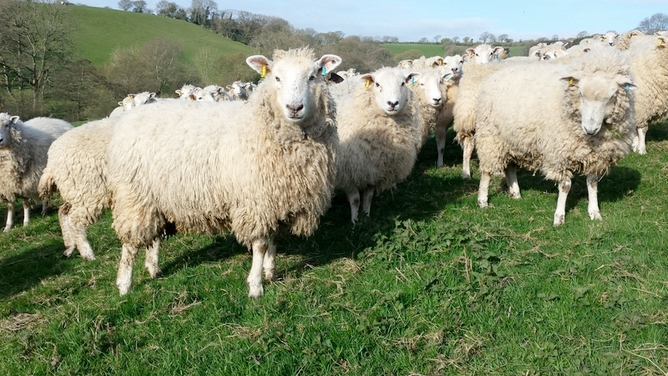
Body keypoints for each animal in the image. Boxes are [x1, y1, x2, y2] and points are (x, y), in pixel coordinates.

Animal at [108, 47, 344, 298]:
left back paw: (153, 268)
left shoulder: (275, 199)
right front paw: (256, 285)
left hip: (156, 198)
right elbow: (260, 244)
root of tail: (128, 118)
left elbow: (273, 239)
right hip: (133, 196)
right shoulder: (256, 201)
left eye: (312, 77)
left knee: (153, 238)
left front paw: (270, 271)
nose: (294, 108)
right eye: (277, 78)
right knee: (130, 243)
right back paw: (124, 284)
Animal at [336, 67, 420, 223]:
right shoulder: (348, 170)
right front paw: (355, 221)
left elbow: (368, 197)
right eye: (377, 84)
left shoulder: (374, 168)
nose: (392, 103)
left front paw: (367, 216)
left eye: (403, 83)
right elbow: (355, 200)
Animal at [472, 49, 636, 226]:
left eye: (611, 96)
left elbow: (592, 183)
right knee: (487, 171)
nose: (590, 129)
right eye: (580, 93)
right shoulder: (559, 155)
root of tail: (497, 73)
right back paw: (483, 200)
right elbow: (565, 186)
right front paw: (559, 217)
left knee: (509, 168)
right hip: (490, 137)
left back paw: (515, 193)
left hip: (511, 140)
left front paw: (594, 212)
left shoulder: (596, 156)